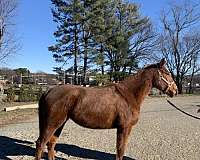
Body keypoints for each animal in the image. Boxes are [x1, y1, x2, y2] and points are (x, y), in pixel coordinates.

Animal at [35, 58, 177, 160]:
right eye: (167, 73)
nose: (175, 90)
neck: (128, 94)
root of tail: (49, 90)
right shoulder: (124, 127)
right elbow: (120, 151)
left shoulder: (125, 128)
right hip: (52, 123)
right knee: (41, 143)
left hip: (60, 123)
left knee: (51, 144)